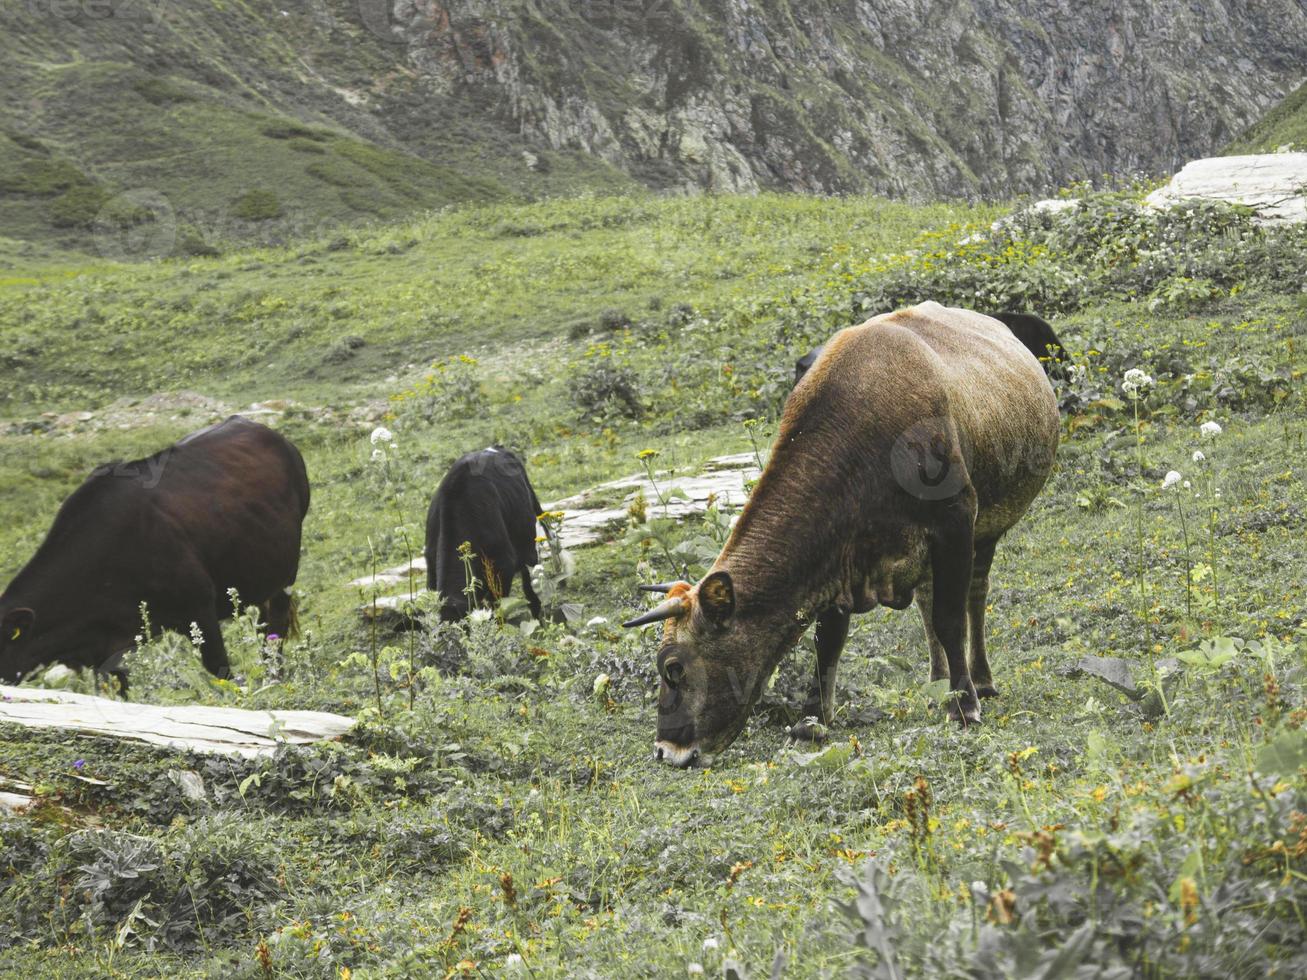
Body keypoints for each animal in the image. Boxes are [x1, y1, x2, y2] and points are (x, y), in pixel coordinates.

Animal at [0, 418, 308, 695]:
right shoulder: (103, 650)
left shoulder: (198, 606)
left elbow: (221, 670)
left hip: (284, 574)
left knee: (275, 630)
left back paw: (274, 680)